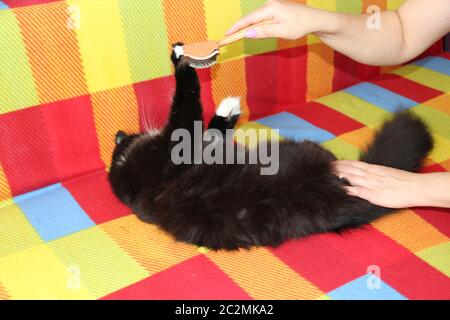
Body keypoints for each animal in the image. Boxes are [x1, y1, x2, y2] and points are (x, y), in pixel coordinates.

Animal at [108, 43, 432, 251]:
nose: (122, 133)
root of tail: (338, 195)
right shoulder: (178, 138)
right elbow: (187, 99)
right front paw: (182, 59)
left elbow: (211, 127)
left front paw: (229, 109)